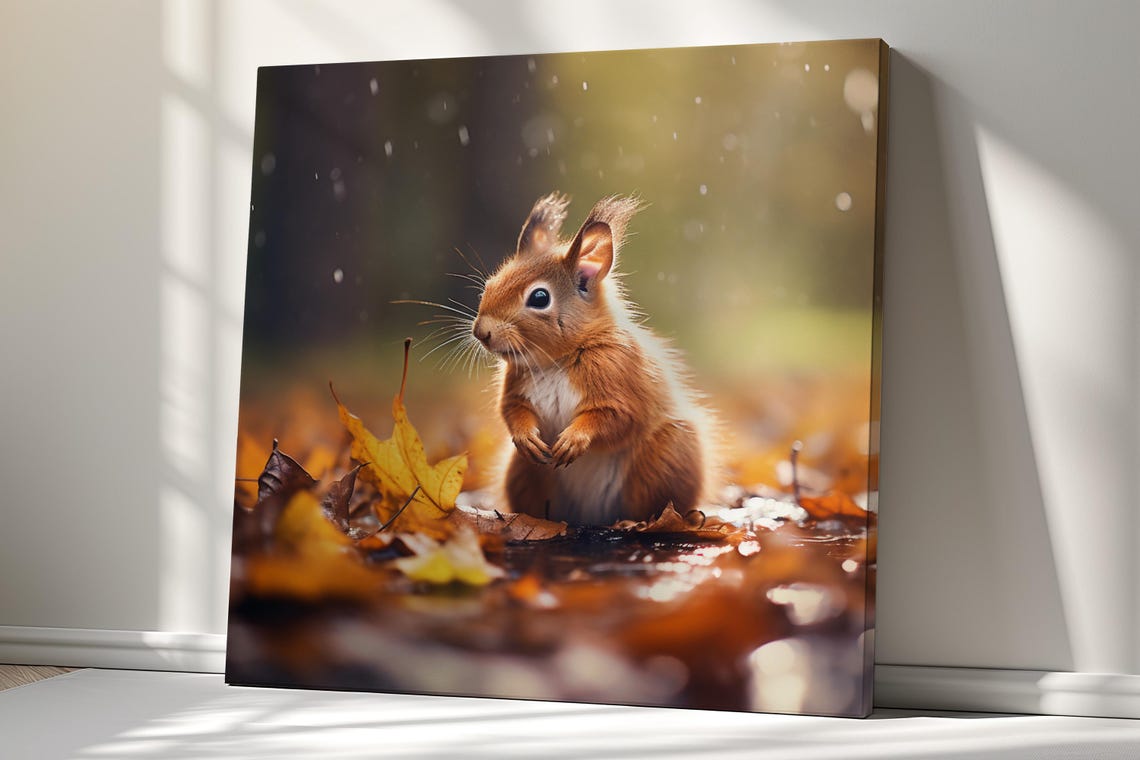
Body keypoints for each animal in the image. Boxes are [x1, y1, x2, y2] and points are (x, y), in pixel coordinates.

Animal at [471, 193, 716, 525]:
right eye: (489, 285)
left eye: (539, 298)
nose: (481, 332)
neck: (557, 361)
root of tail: (591, 517)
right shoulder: (517, 387)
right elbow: (512, 410)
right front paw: (525, 437)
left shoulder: (620, 374)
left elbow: (616, 417)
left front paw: (574, 439)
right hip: (524, 472)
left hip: (665, 458)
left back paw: (636, 522)